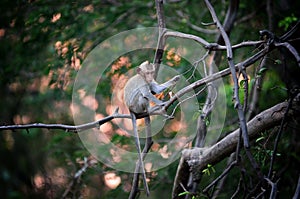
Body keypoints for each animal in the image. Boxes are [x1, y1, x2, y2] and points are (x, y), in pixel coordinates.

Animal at [123, 60, 179, 197]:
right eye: (147, 73)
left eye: (151, 72)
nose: (150, 78)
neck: (143, 77)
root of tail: (130, 109)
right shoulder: (142, 82)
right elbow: (147, 93)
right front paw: (161, 103)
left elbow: (156, 89)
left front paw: (175, 79)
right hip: (136, 105)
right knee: (143, 96)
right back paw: (152, 109)